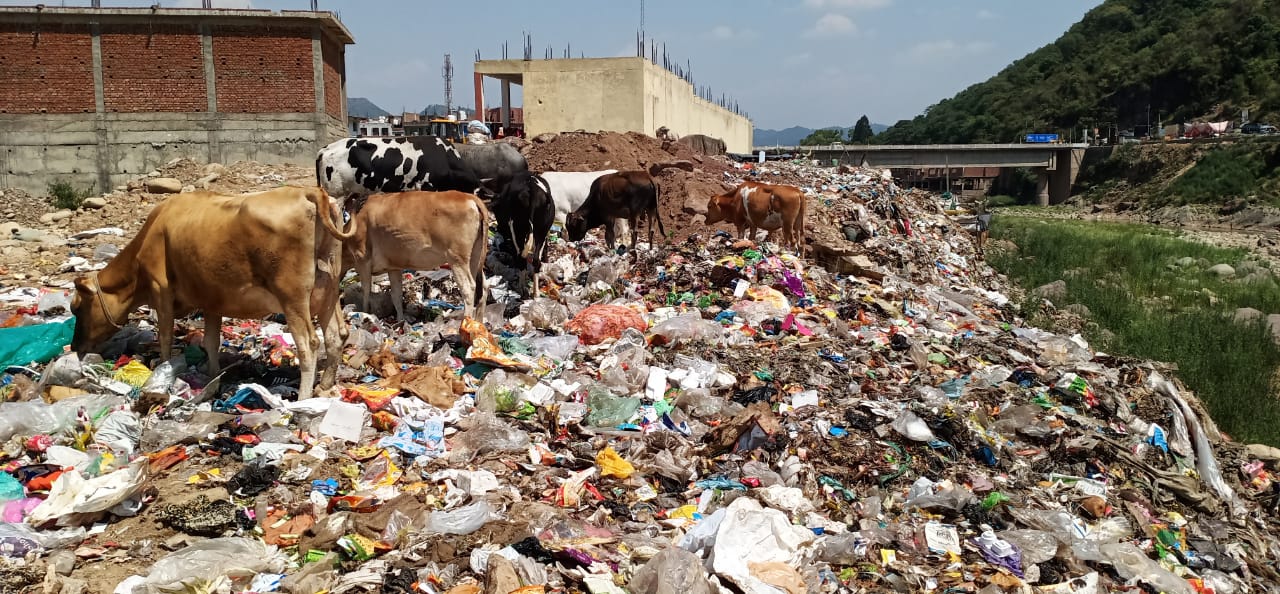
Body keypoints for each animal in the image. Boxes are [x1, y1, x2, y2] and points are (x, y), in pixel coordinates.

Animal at [68, 185, 353, 399]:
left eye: (77, 307)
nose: (74, 346)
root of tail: (309, 191)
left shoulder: (161, 291)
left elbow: (165, 337)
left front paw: (162, 370)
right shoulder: (212, 300)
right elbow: (211, 342)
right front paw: (213, 376)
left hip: (292, 296)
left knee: (309, 344)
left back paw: (303, 398)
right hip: (328, 288)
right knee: (336, 334)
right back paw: (325, 385)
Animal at [340, 190, 488, 322]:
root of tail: (470, 197)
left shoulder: (362, 259)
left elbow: (366, 292)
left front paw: (364, 313)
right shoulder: (393, 267)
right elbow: (396, 295)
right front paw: (400, 320)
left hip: (457, 259)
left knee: (469, 288)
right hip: (474, 256)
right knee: (484, 287)